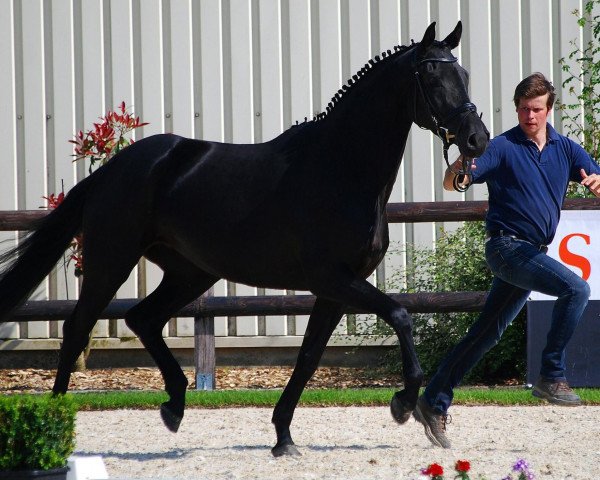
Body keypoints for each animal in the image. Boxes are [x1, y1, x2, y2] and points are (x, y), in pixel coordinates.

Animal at [0, 23, 486, 458]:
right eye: (432, 76)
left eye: (464, 75)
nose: (476, 138)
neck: (340, 168)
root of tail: (114, 168)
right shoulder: (332, 279)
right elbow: (401, 316)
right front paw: (404, 405)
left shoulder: (335, 290)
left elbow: (309, 357)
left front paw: (284, 437)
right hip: (111, 260)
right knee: (77, 328)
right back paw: (59, 422)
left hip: (189, 273)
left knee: (142, 318)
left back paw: (175, 405)